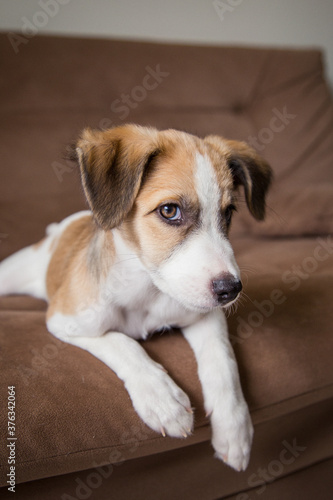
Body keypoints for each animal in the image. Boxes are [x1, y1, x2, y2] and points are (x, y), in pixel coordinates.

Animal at [0, 126, 272, 472]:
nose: (230, 290)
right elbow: (123, 343)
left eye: (229, 213)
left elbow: (224, 362)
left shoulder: (204, 315)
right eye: (169, 211)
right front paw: (162, 398)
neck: (147, 290)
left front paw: (234, 428)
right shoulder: (65, 322)